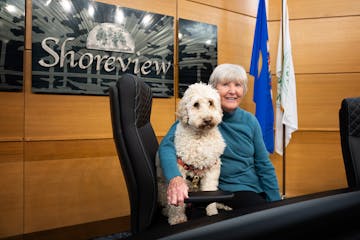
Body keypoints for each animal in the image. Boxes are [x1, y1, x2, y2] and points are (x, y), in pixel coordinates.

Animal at [156, 82, 229, 225]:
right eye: (196, 104)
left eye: (211, 102)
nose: (208, 119)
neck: (200, 136)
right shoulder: (180, 168)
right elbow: (177, 203)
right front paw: (177, 218)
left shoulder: (212, 170)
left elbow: (210, 193)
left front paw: (212, 212)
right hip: (161, 189)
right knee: (165, 204)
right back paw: (167, 212)